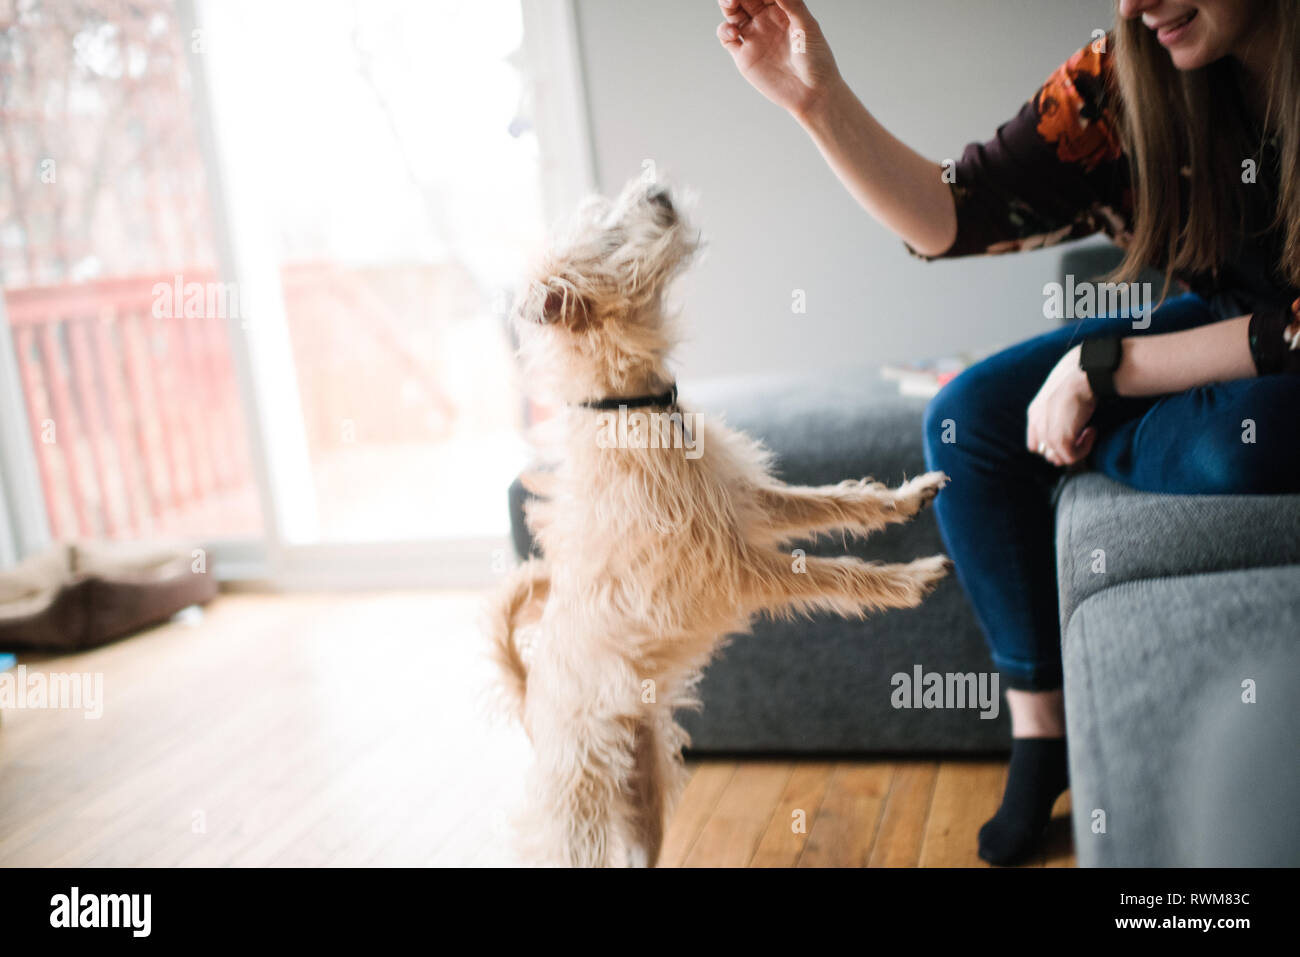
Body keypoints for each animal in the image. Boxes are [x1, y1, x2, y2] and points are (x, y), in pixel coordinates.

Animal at [486, 171, 946, 868]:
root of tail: (532, 702)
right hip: (583, 817)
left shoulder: (749, 504)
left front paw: (903, 497)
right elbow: (835, 575)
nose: (655, 187)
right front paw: (908, 580)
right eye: (609, 238)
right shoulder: (738, 566)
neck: (635, 409)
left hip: (643, 792)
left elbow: (833, 500)